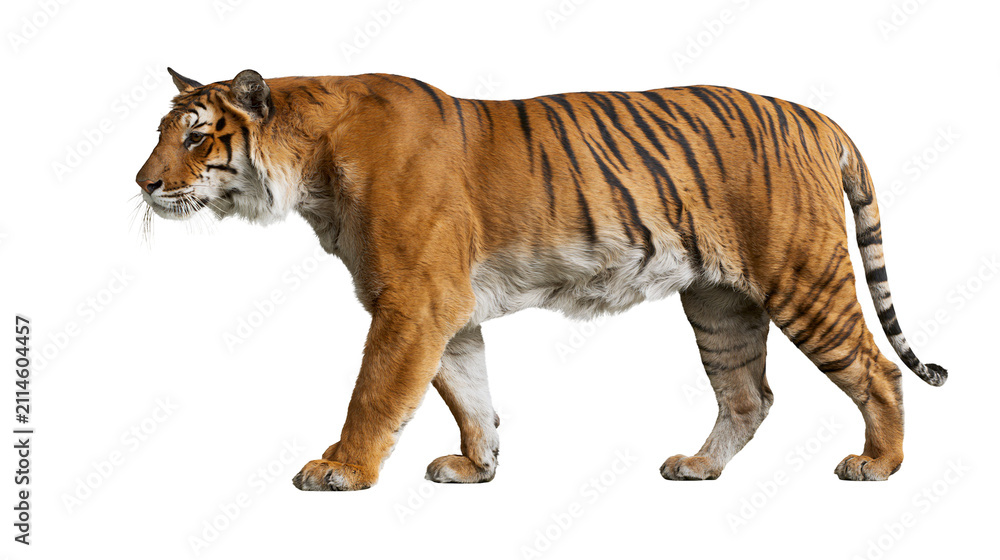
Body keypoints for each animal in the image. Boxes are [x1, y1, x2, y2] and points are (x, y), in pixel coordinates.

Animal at [136, 67, 948, 490]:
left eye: (198, 136)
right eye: (161, 132)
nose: (142, 184)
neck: (307, 171)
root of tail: (815, 117)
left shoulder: (412, 301)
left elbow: (375, 394)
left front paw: (342, 469)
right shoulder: (445, 308)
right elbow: (468, 395)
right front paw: (478, 467)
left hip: (803, 277)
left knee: (878, 370)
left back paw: (878, 464)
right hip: (719, 303)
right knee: (749, 395)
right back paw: (697, 467)